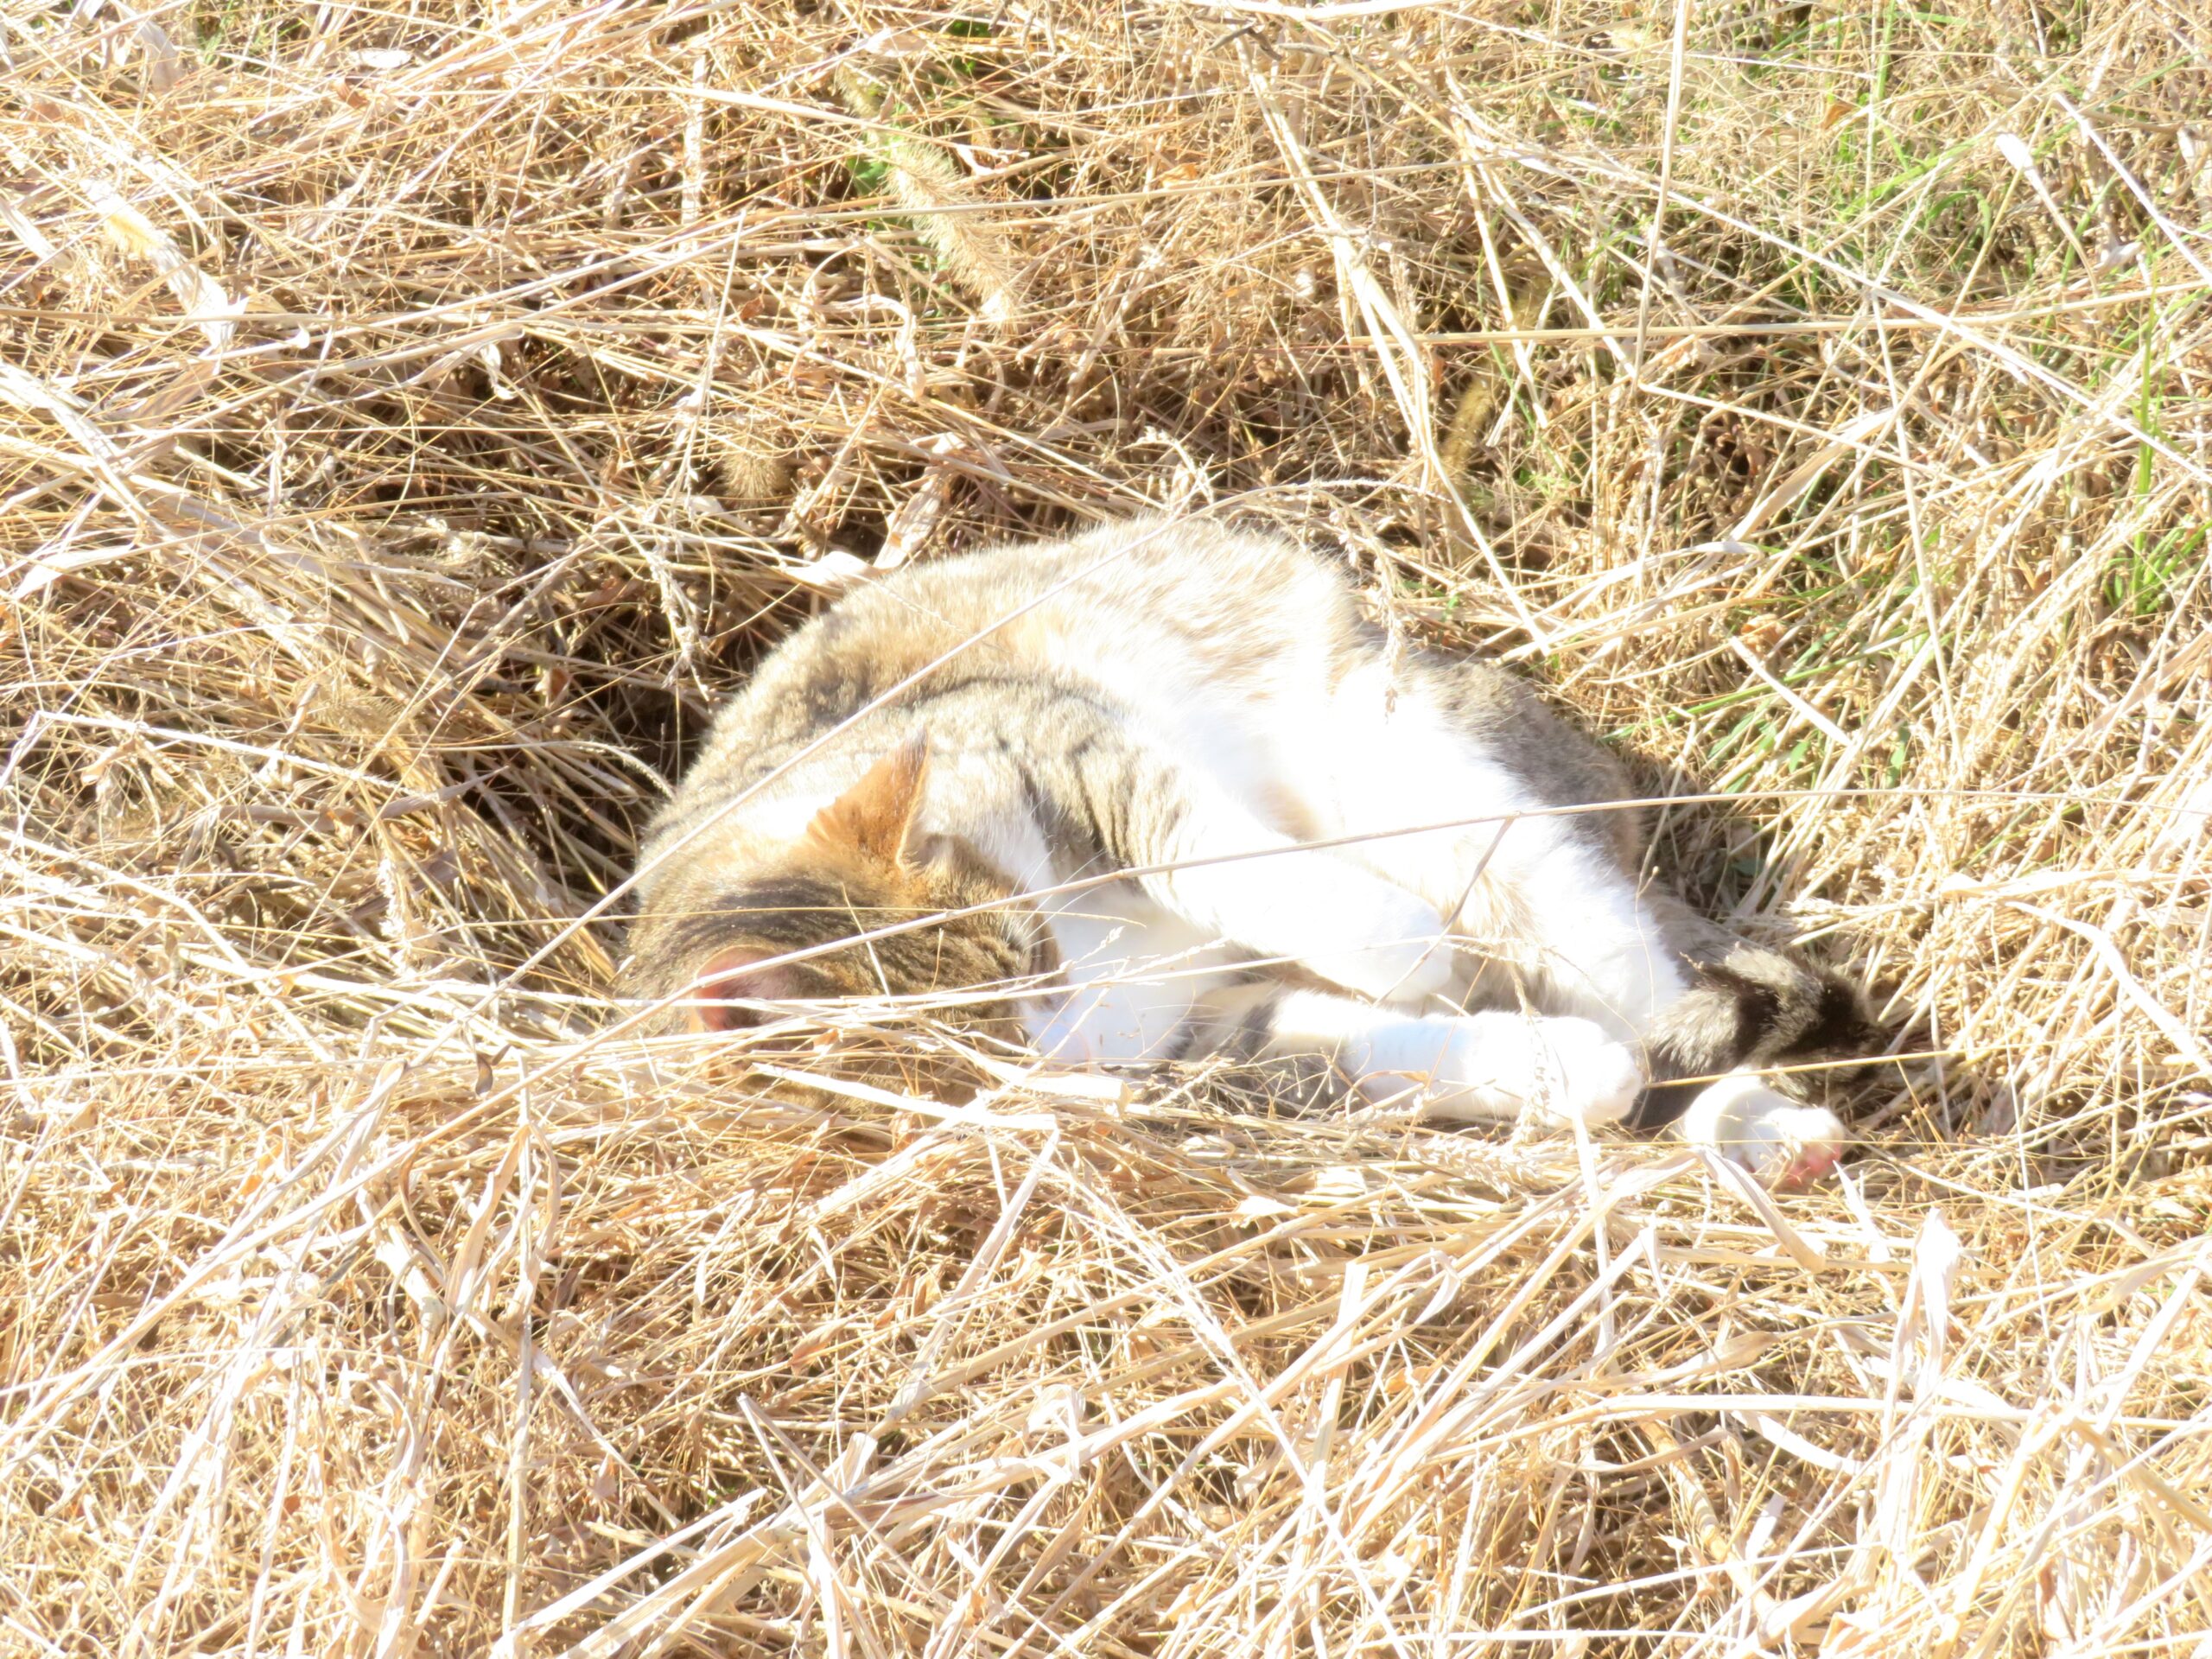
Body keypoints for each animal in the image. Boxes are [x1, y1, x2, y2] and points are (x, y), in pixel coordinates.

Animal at [619, 518, 1866, 1185]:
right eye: (964, 1069)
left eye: (1031, 957)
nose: (1079, 1047)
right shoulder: (1209, 1046)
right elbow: (1348, 1051)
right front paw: (1553, 1074)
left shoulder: (1076, 751)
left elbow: (1223, 857)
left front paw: (1408, 951)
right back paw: (1741, 1124)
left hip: (1421, 761)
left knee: (1621, 958)